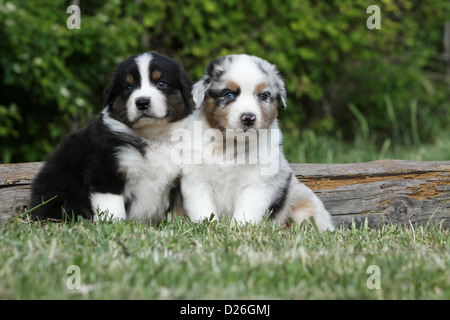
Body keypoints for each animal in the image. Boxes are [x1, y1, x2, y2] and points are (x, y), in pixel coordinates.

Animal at [29, 52, 192, 222]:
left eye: (161, 84)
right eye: (128, 87)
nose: (142, 102)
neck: (152, 136)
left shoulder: (178, 179)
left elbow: (179, 210)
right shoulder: (105, 171)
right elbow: (112, 208)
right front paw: (113, 224)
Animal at [179, 53, 334, 231]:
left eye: (263, 96)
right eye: (229, 95)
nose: (248, 118)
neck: (230, 144)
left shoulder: (256, 184)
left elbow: (245, 213)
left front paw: (237, 230)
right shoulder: (198, 180)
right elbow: (204, 211)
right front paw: (207, 227)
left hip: (305, 208)